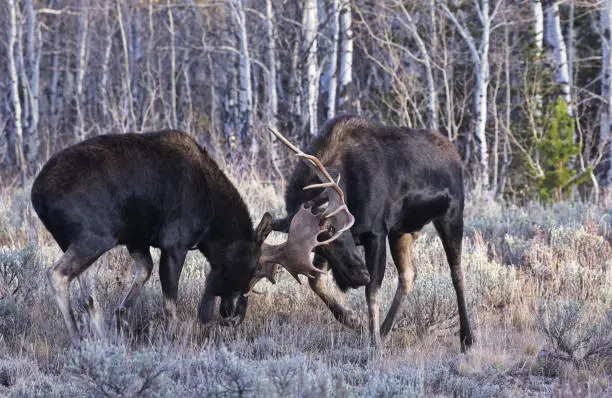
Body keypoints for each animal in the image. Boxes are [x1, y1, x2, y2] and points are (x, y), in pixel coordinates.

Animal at [31, 130, 352, 338]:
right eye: (252, 267)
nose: (233, 314)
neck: (212, 224)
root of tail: (37, 196)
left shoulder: (137, 239)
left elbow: (142, 274)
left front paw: (120, 323)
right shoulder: (175, 242)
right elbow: (170, 305)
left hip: (78, 240)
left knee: (87, 291)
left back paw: (97, 340)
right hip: (94, 236)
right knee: (57, 274)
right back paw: (76, 339)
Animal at [270, 116, 476, 352]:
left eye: (333, 228)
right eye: (318, 245)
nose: (359, 275)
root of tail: (455, 154)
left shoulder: (376, 232)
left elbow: (372, 291)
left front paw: (373, 341)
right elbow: (316, 281)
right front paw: (354, 320)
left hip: (451, 217)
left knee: (457, 273)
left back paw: (467, 338)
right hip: (401, 231)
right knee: (408, 275)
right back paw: (385, 330)